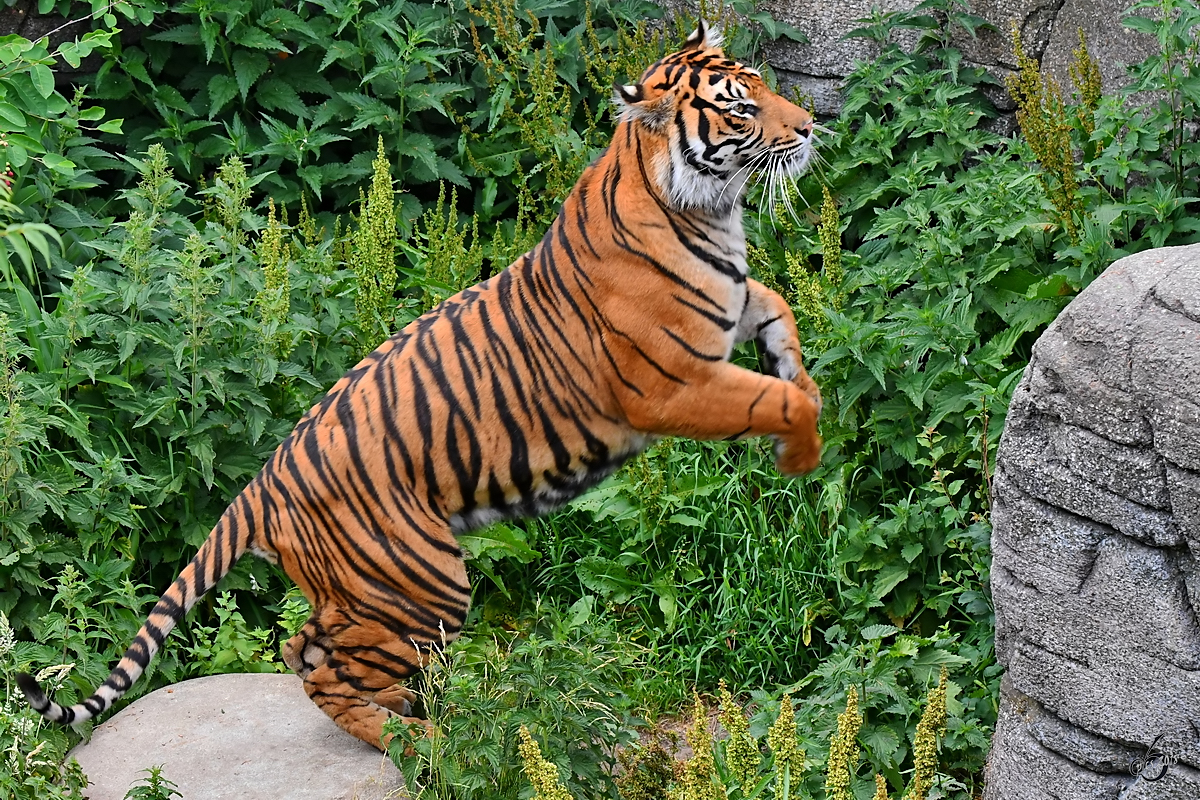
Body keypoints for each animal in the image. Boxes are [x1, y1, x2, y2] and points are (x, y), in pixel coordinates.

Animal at [16, 21, 825, 753]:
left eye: (763, 86)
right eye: (741, 109)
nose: (812, 127)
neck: (711, 211)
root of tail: (262, 484)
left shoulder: (733, 308)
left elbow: (783, 324)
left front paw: (804, 392)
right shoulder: (671, 381)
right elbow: (774, 399)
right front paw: (802, 454)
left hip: (367, 591)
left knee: (302, 646)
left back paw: (413, 711)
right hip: (422, 581)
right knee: (324, 669)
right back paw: (413, 739)